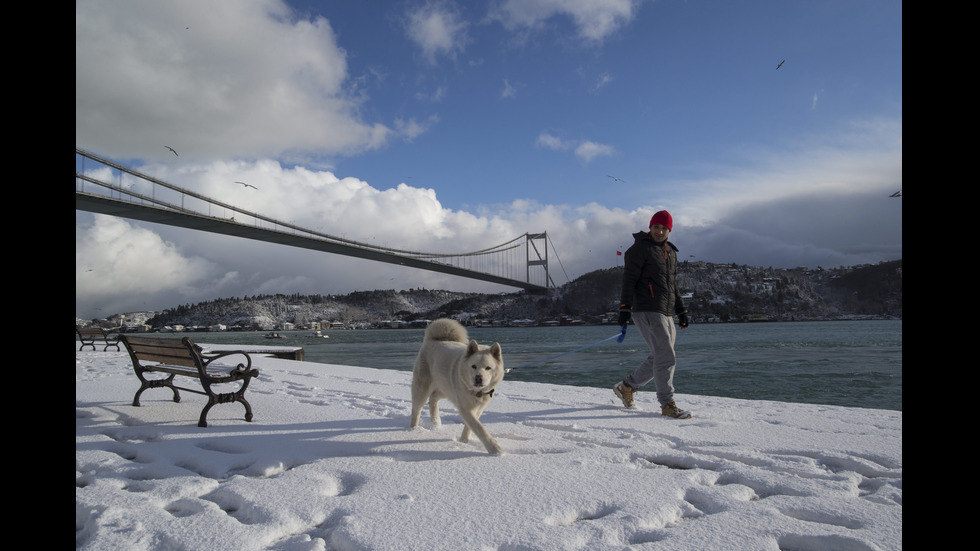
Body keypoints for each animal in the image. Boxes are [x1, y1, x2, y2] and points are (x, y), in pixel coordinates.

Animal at [412, 316, 506, 454]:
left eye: (488, 368)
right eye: (473, 366)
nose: (478, 378)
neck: (476, 392)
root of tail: (432, 340)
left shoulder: (477, 408)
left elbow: (470, 426)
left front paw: (463, 442)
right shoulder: (465, 408)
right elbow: (479, 428)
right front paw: (495, 449)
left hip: (446, 389)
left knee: (433, 398)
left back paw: (436, 423)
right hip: (422, 388)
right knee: (416, 409)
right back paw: (413, 430)